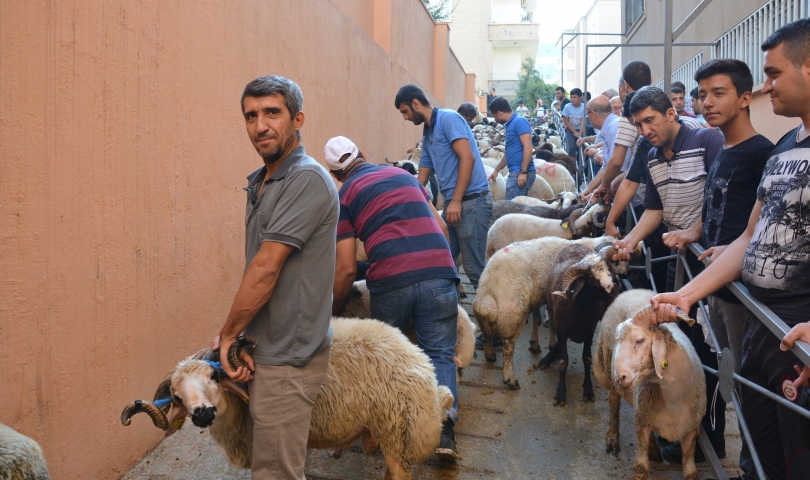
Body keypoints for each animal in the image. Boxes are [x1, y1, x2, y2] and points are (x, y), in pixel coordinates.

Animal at [592, 288, 704, 480]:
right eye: (617, 342)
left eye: (639, 340)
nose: (619, 378)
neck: (675, 397)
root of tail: (631, 291)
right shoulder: (641, 424)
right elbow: (641, 468)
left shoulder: (691, 431)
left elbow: (691, 472)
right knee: (614, 401)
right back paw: (613, 438)